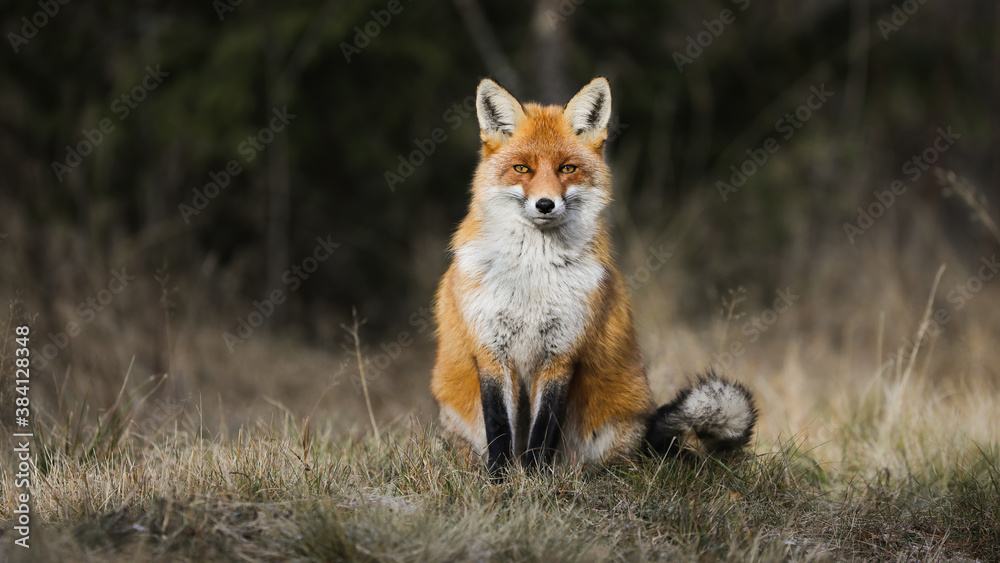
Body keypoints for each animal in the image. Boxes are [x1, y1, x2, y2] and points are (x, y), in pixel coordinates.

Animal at [430, 77, 757, 476]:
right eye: (522, 169)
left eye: (567, 168)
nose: (545, 204)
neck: (533, 279)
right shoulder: (491, 350)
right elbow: (499, 430)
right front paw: (500, 480)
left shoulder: (562, 353)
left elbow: (543, 431)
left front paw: (535, 480)